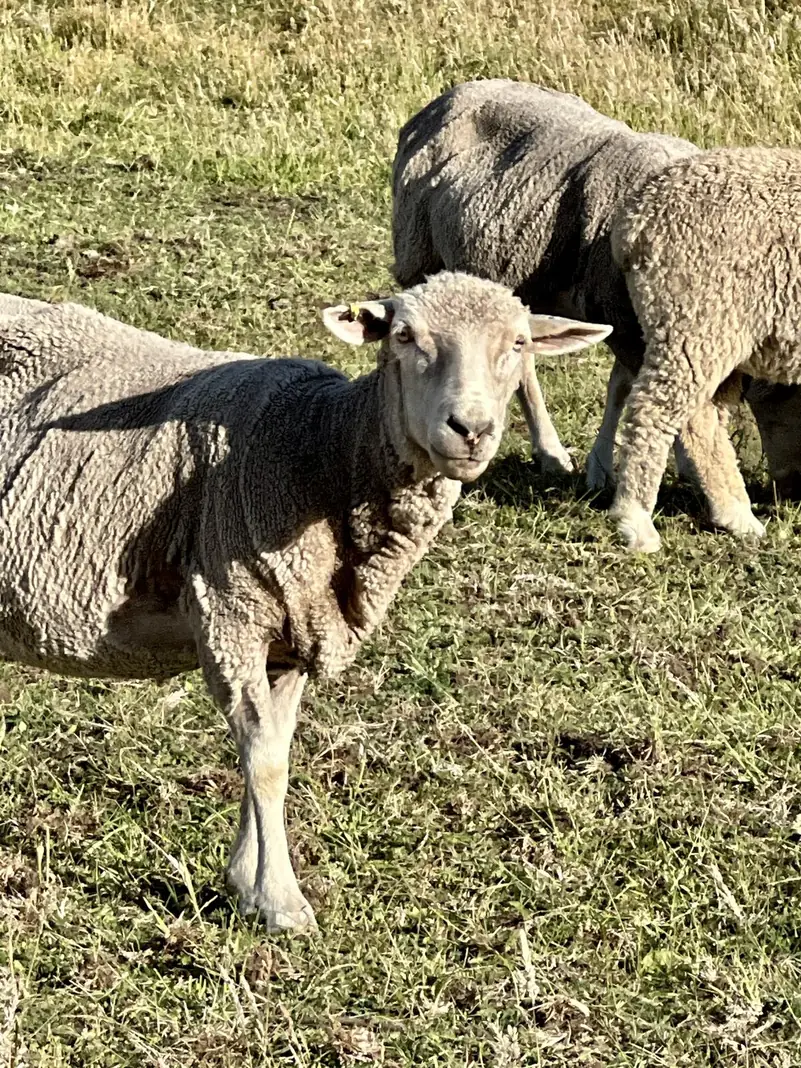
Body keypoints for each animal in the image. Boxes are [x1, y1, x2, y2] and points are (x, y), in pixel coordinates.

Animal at [0, 273, 610, 930]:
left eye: (519, 343)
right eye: (403, 336)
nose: (469, 429)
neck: (323, 449)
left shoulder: (293, 628)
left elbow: (278, 749)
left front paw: (245, 883)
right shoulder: (232, 611)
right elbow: (263, 758)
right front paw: (281, 901)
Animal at [392, 79, 801, 494]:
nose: (789, 493)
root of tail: (450, 95)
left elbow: (622, 385)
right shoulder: (619, 314)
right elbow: (635, 390)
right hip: (419, 257)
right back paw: (550, 453)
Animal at [609, 147, 801, 552]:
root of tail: (636, 218)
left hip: (718, 331)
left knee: (703, 418)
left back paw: (737, 516)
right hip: (695, 316)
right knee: (653, 409)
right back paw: (635, 521)